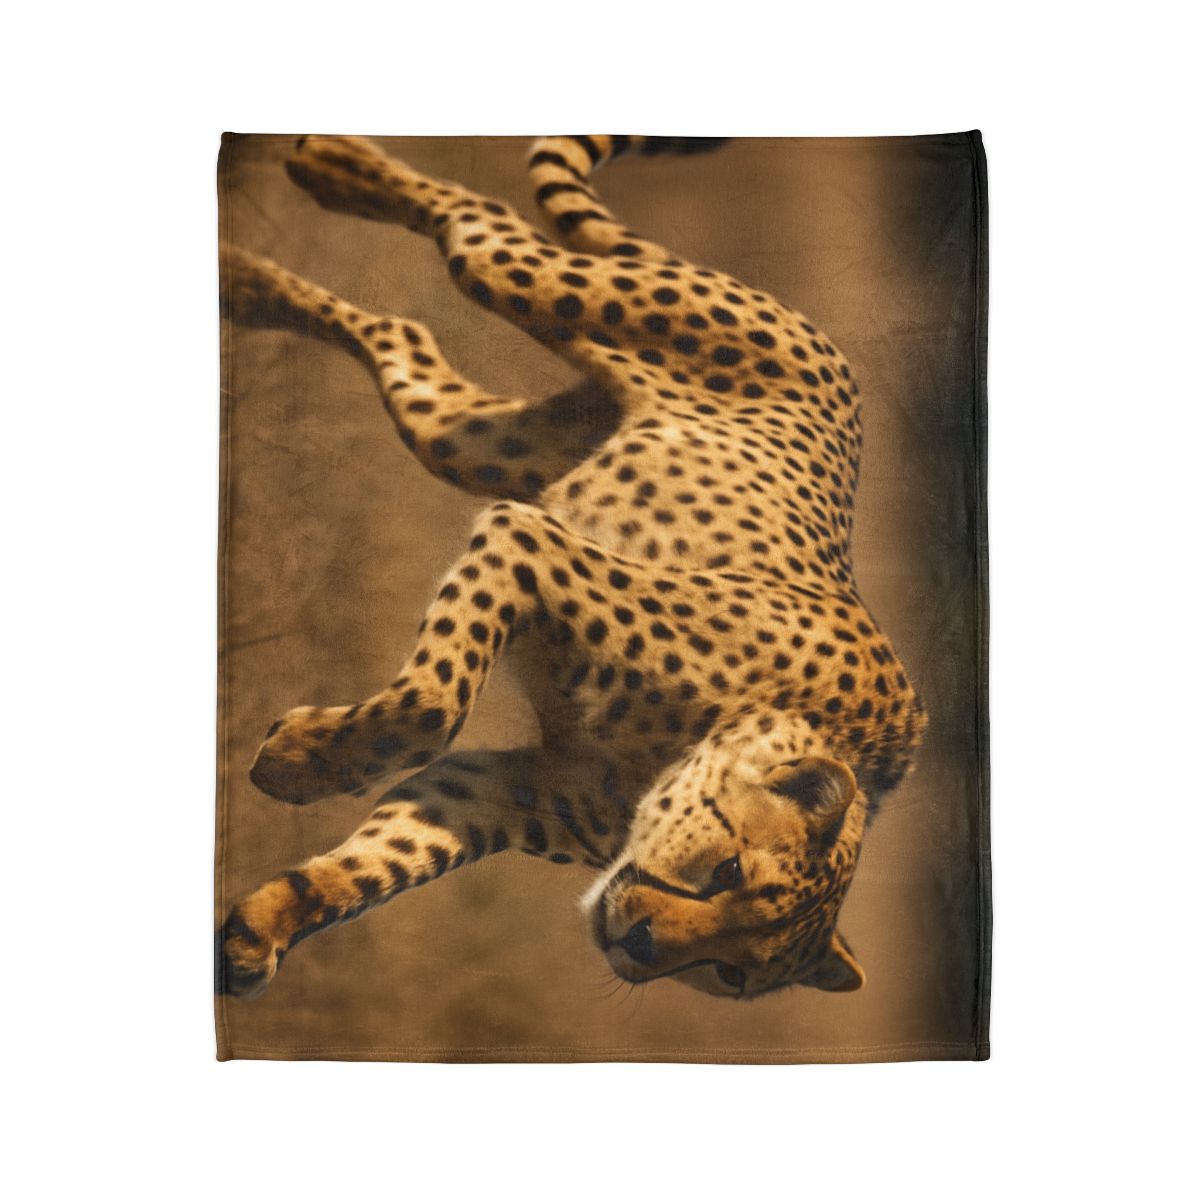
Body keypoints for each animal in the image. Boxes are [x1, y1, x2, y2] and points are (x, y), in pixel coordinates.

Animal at [217, 133, 927, 1002]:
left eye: (733, 971)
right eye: (727, 872)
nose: (640, 946)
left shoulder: (490, 790)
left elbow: (384, 861)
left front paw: (263, 928)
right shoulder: (529, 540)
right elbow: (430, 704)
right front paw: (300, 760)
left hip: (477, 442)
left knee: (401, 334)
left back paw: (247, 283)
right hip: (558, 297)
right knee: (472, 224)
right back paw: (333, 166)